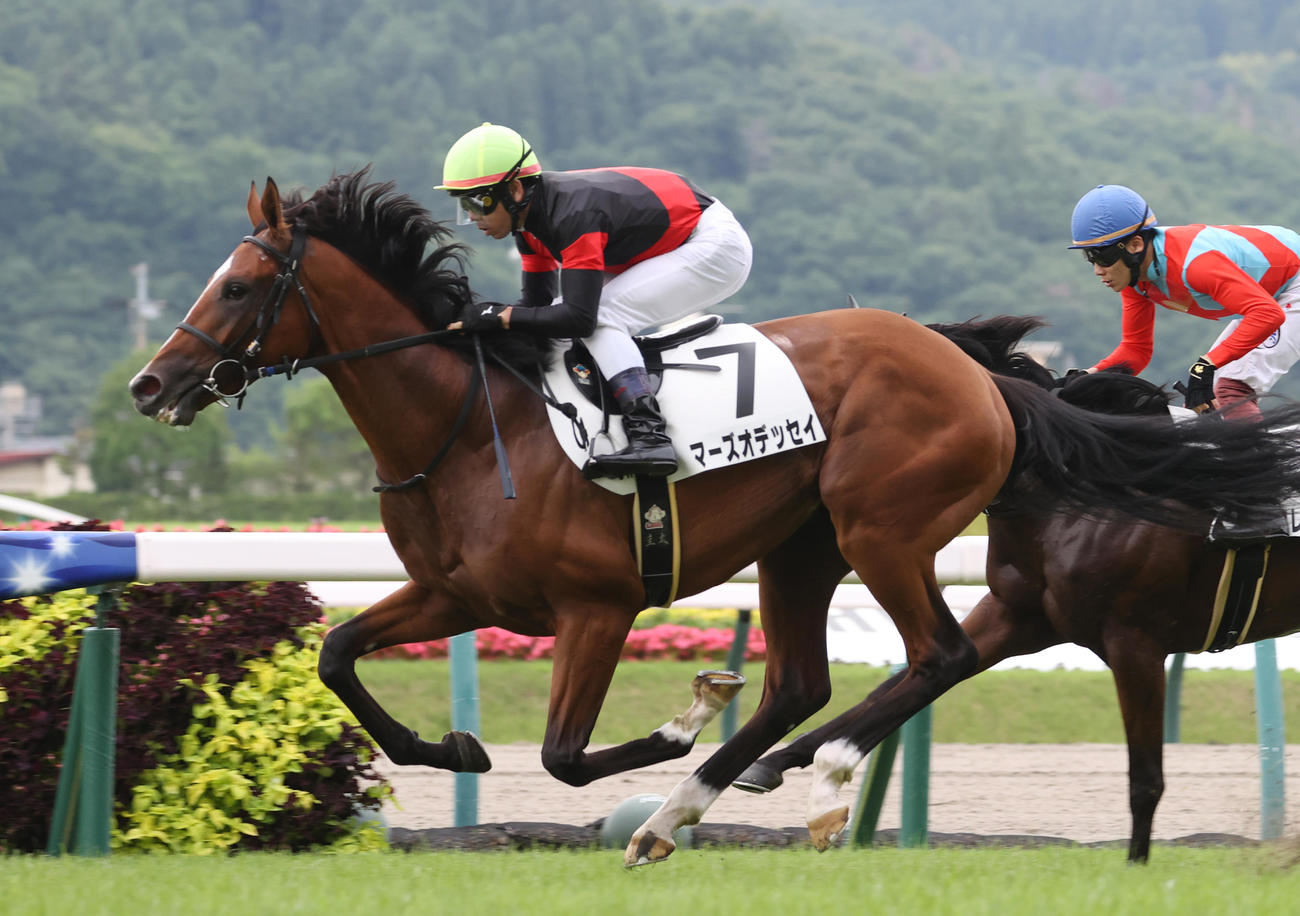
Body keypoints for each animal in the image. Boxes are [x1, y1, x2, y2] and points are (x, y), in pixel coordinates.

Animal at [735, 315, 1300, 863]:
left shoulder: (1135, 641)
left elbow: (1146, 778)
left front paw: (1136, 866)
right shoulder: (1017, 617)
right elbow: (896, 684)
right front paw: (773, 764)